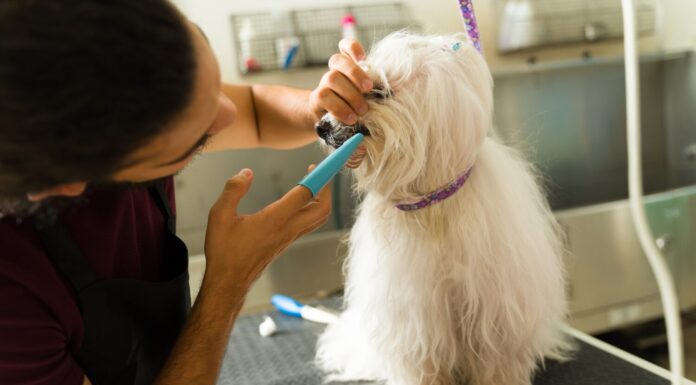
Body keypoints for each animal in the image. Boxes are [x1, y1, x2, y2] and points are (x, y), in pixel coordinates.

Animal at [314, 33, 572, 384]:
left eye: (380, 91)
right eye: (348, 91)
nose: (321, 126)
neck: (433, 203)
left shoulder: (495, 311)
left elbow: (496, 362)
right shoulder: (414, 314)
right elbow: (419, 362)